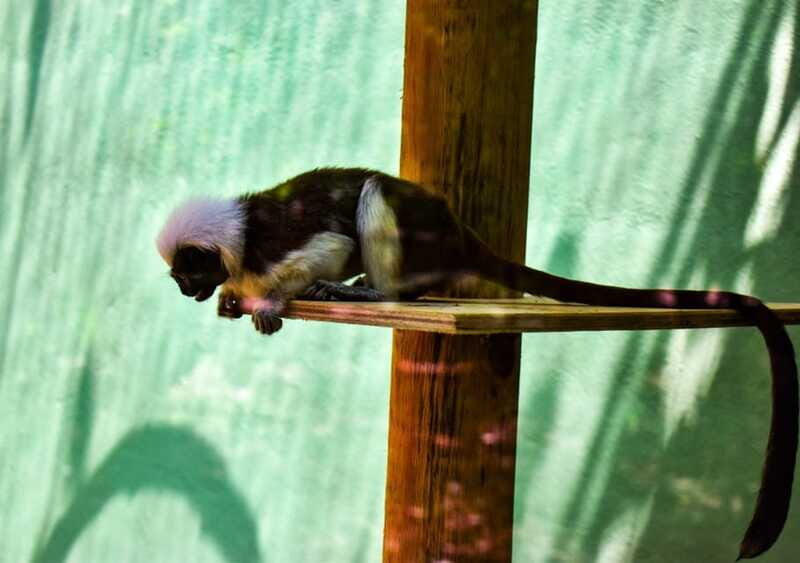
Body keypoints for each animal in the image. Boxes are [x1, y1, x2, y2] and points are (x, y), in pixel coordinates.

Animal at [156, 167, 797, 559]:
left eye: (187, 272)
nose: (187, 292)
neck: (241, 238)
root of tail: (460, 231)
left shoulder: (273, 248)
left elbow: (327, 251)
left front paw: (273, 301)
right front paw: (234, 298)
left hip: (417, 232)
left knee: (374, 197)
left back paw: (380, 293)